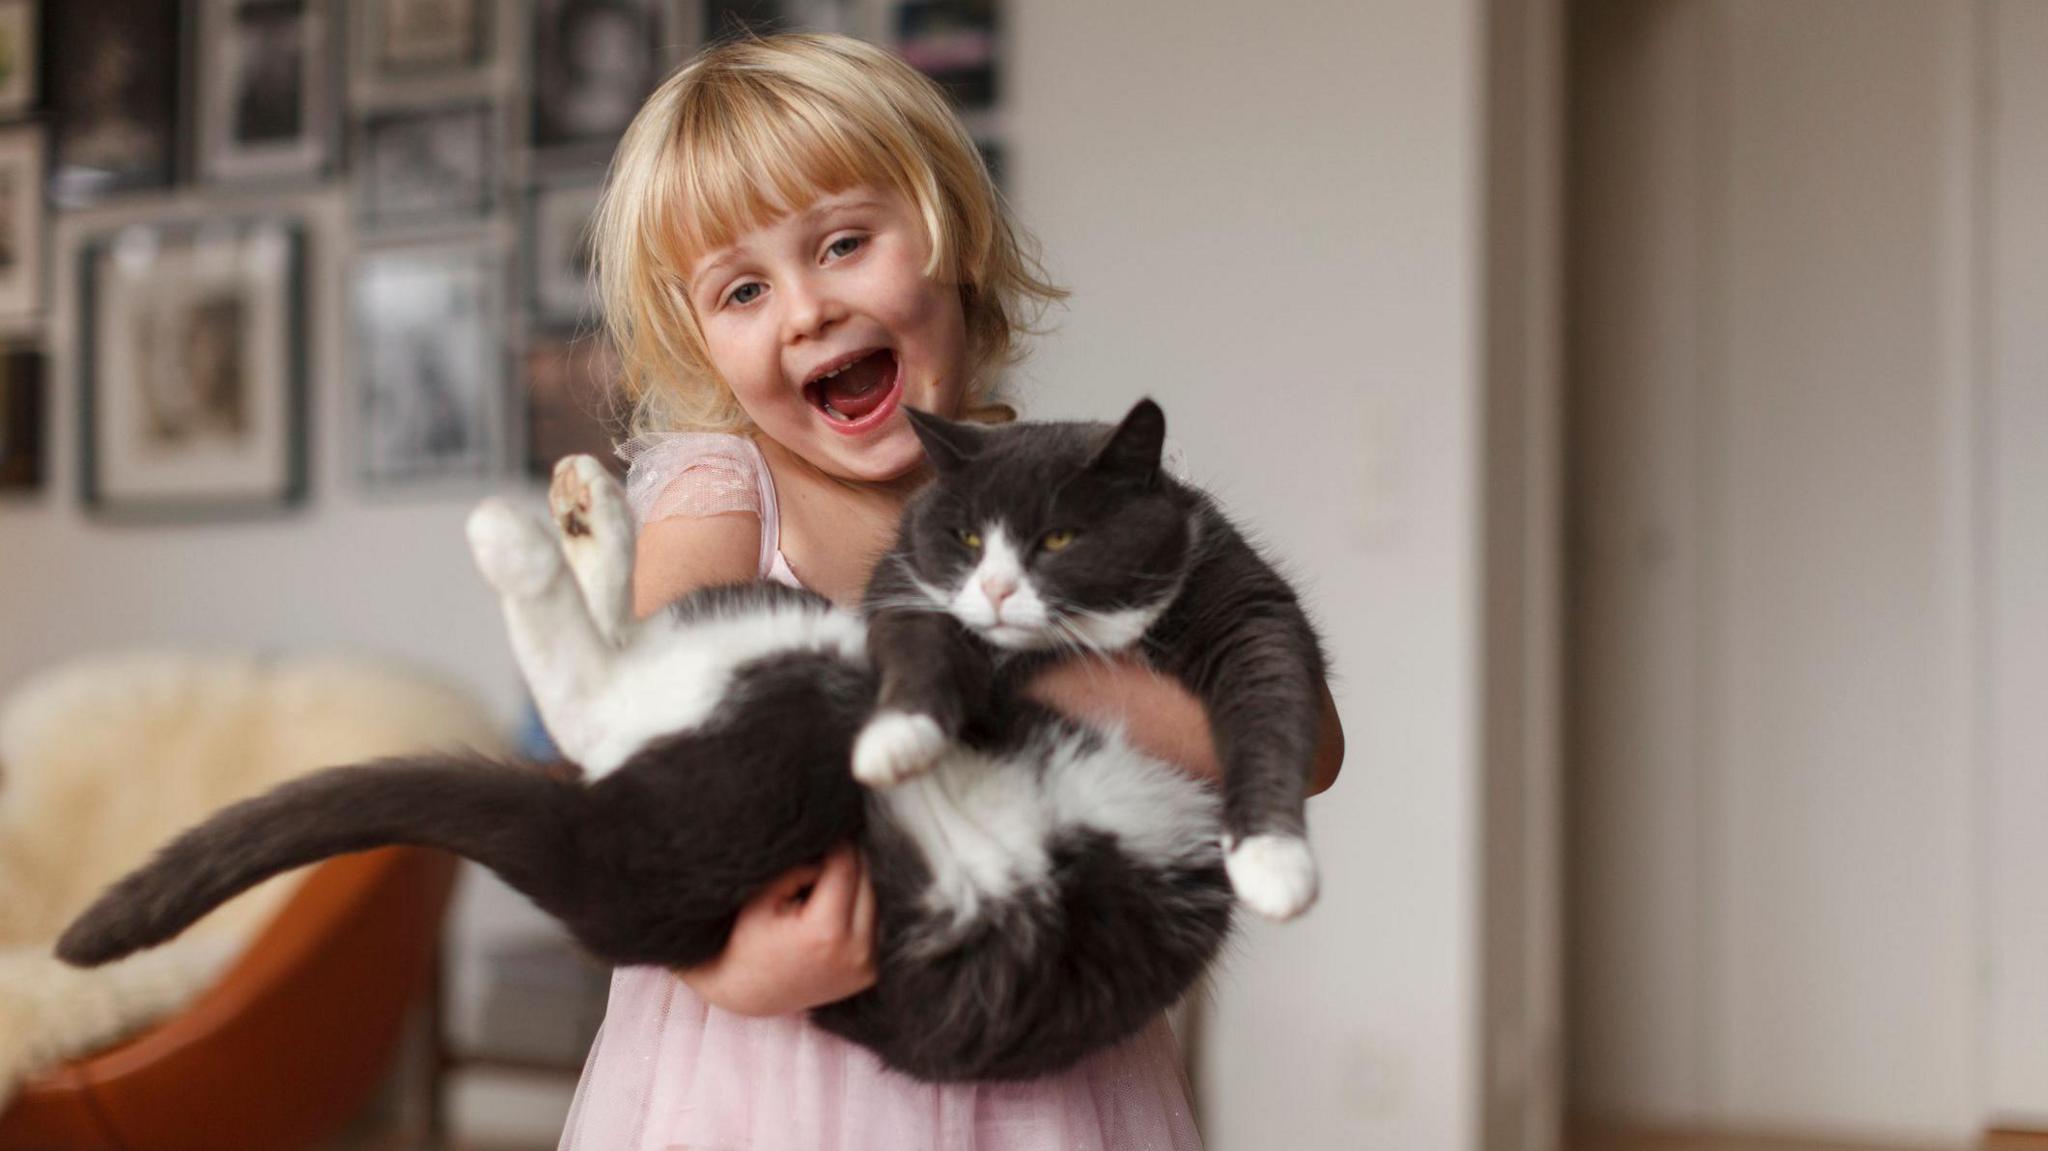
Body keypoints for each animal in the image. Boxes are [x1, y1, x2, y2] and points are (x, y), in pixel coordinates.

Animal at [59, 399, 1327, 1081]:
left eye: (1060, 535)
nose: (1001, 589)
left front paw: (1271, 861)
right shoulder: (898, 597)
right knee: (605, 688)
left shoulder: (1252, 612)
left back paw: (556, 523)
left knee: (605, 693)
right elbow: (923, 648)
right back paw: (555, 517)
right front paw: (905, 730)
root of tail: (591, 850)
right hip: (795, 651)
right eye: (968, 537)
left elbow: (1278, 711)